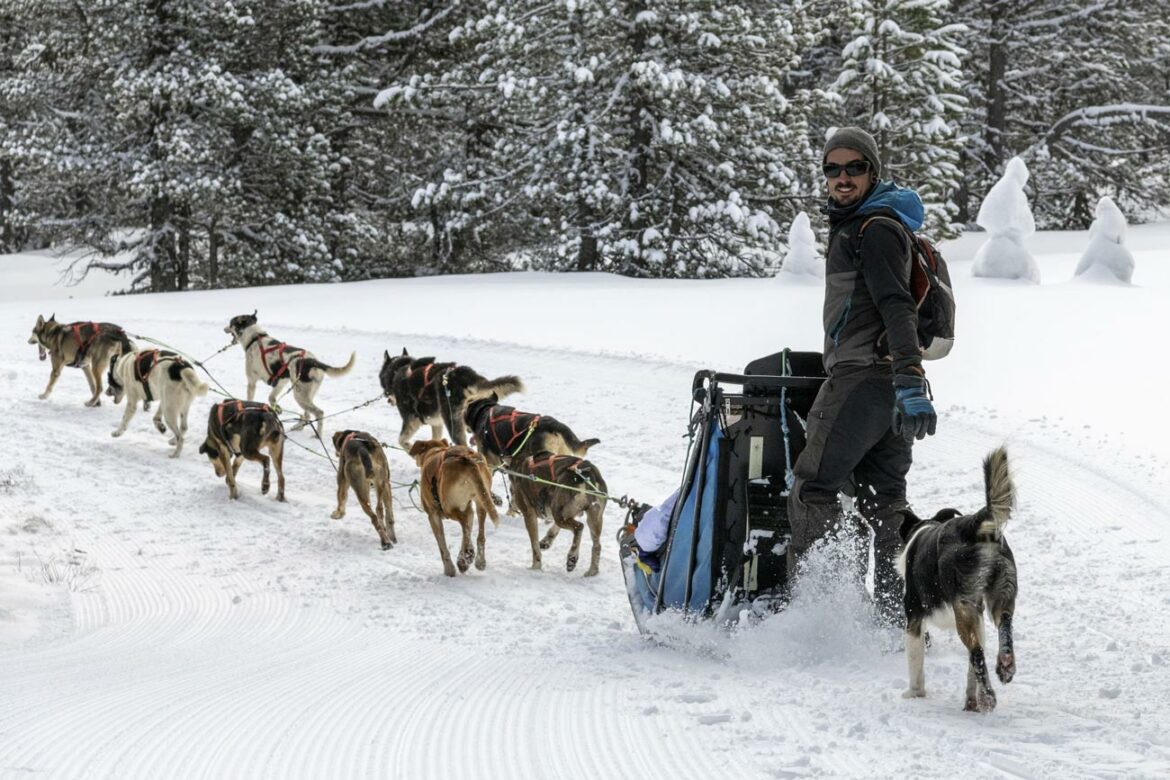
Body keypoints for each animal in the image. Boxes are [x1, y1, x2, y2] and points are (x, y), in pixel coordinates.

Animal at [224, 313, 355, 432]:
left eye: (230, 323)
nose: (224, 328)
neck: (255, 337)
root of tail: (312, 361)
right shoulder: (281, 382)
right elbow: (272, 398)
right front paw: (277, 409)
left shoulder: (252, 382)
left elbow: (250, 399)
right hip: (305, 394)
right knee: (307, 414)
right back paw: (299, 425)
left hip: (299, 396)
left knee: (319, 412)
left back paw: (316, 434)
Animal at [379, 348, 526, 449]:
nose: (387, 398)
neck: (397, 372)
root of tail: (465, 375)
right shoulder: (436, 424)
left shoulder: (411, 421)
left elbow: (401, 441)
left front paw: (410, 448)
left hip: (452, 422)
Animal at [411, 442, 498, 577]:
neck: (434, 452)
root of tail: (466, 458)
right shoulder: (469, 509)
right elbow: (467, 530)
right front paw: (462, 558)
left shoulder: (433, 515)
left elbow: (442, 546)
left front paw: (449, 569)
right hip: (481, 499)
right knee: (478, 533)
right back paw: (478, 560)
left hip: (448, 508)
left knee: (464, 523)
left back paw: (467, 556)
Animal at [507, 451, 608, 580]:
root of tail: (586, 471)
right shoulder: (565, 513)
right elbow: (553, 530)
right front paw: (546, 541)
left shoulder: (529, 514)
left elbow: (535, 546)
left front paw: (535, 566)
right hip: (592, 518)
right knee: (597, 545)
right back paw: (592, 571)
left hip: (560, 513)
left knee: (579, 527)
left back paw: (572, 557)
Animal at [898, 444, 1020, 715]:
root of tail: (974, 523)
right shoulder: (978, 616)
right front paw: (972, 702)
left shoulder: (914, 617)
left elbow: (915, 662)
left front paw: (914, 693)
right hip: (1001, 592)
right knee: (1003, 625)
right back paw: (1004, 666)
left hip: (963, 605)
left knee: (976, 653)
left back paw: (989, 696)